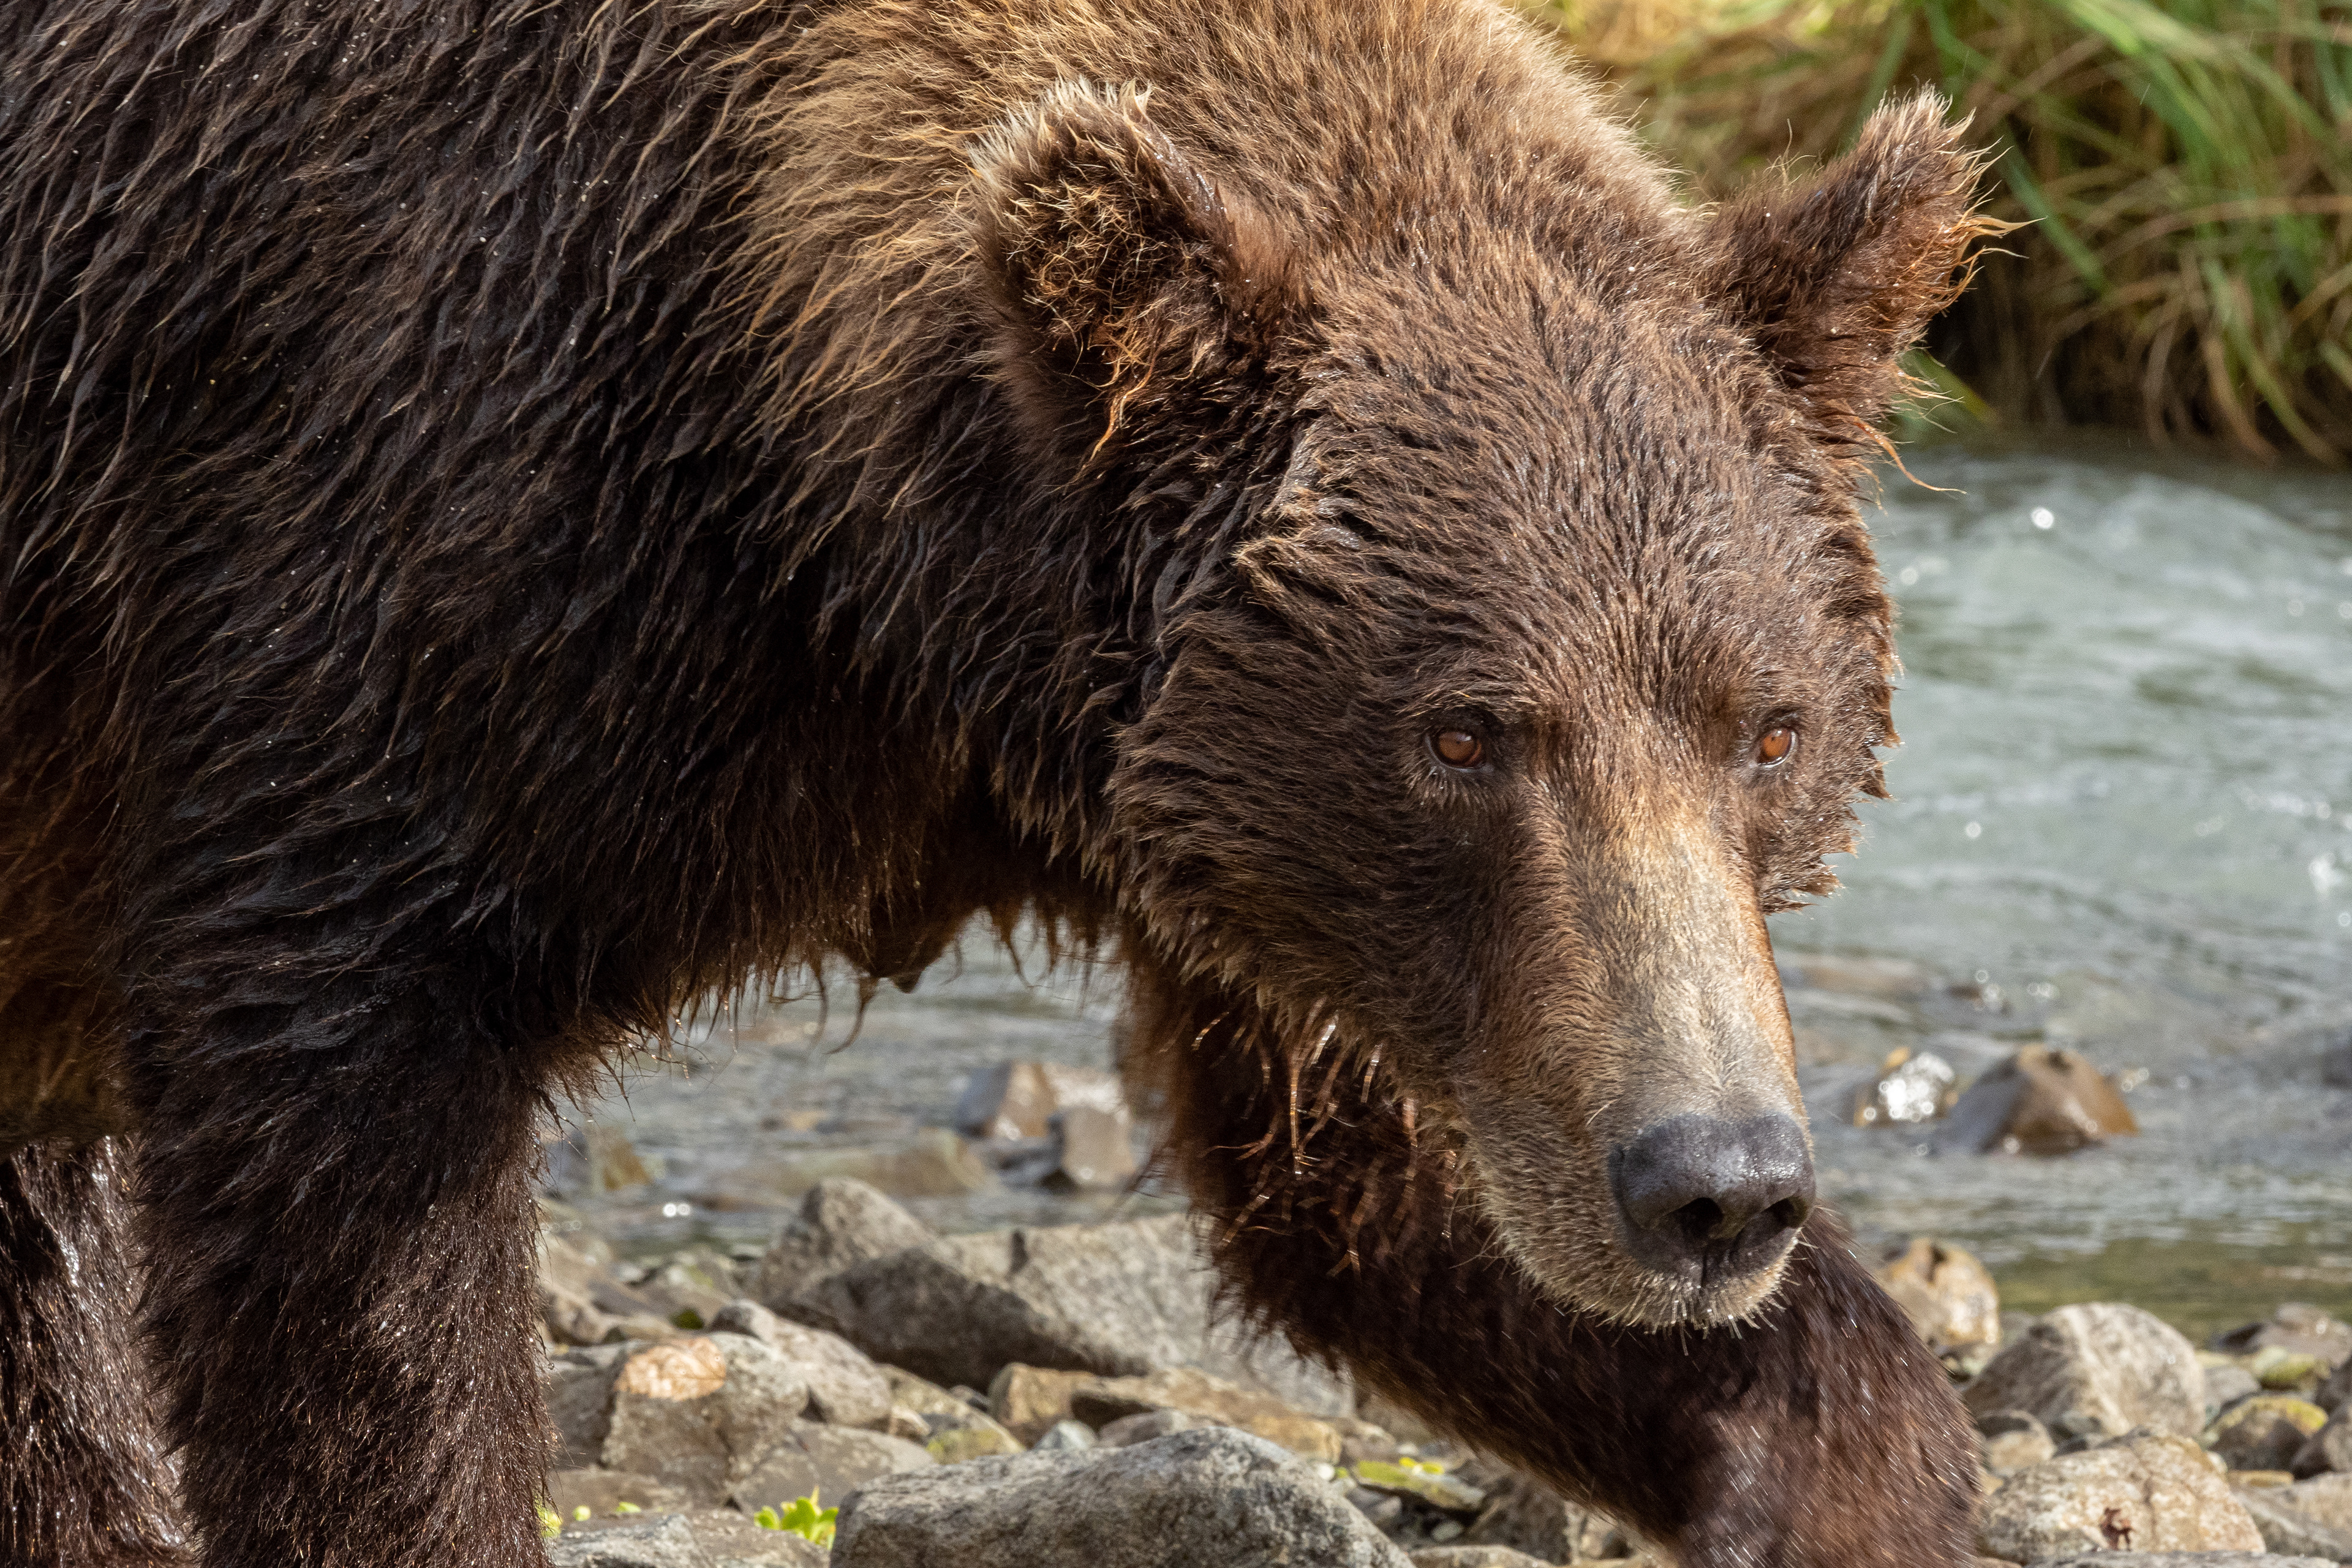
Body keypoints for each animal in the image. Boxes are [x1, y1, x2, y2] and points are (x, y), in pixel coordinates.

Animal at [0, 0, 1994, 1563]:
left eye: (1764, 726)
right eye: (1462, 731)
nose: (1713, 1180)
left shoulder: (1278, 879)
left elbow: (1387, 1184)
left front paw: (1822, 1464)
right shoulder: (408, 524)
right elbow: (347, 1147)